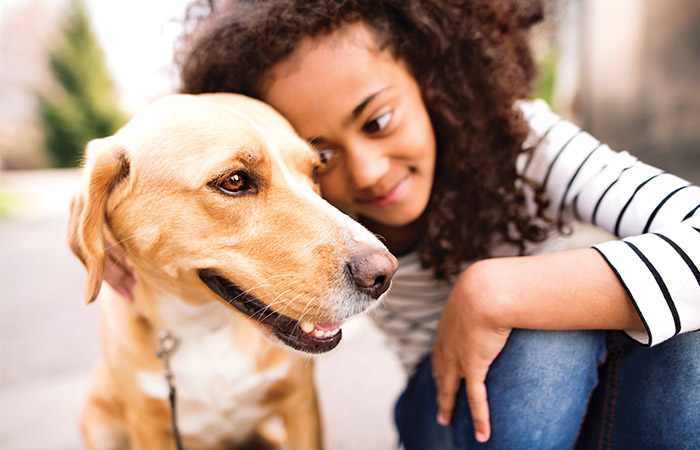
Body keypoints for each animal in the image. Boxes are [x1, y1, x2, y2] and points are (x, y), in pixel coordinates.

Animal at [70, 94, 400, 450]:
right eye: (234, 181)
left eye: (315, 170)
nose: (383, 275)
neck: (205, 327)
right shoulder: (148, 426)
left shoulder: (300, 402)